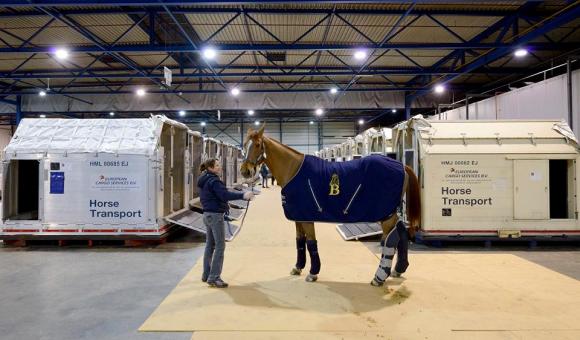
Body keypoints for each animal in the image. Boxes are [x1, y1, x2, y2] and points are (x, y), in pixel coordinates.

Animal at [240, 126, 422, 286]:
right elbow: (300, 242)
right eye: (244, 144)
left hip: (385, 215)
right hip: (390, 213)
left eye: (257, 145)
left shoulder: (307, 218)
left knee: (390, 239)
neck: (293, 169)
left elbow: (311, 243)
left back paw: (379, 277)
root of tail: (401, 165)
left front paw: (313, 273)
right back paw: (398, 269)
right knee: (402, 233)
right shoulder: (298, 216)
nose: (245, 171)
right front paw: (298, 267)